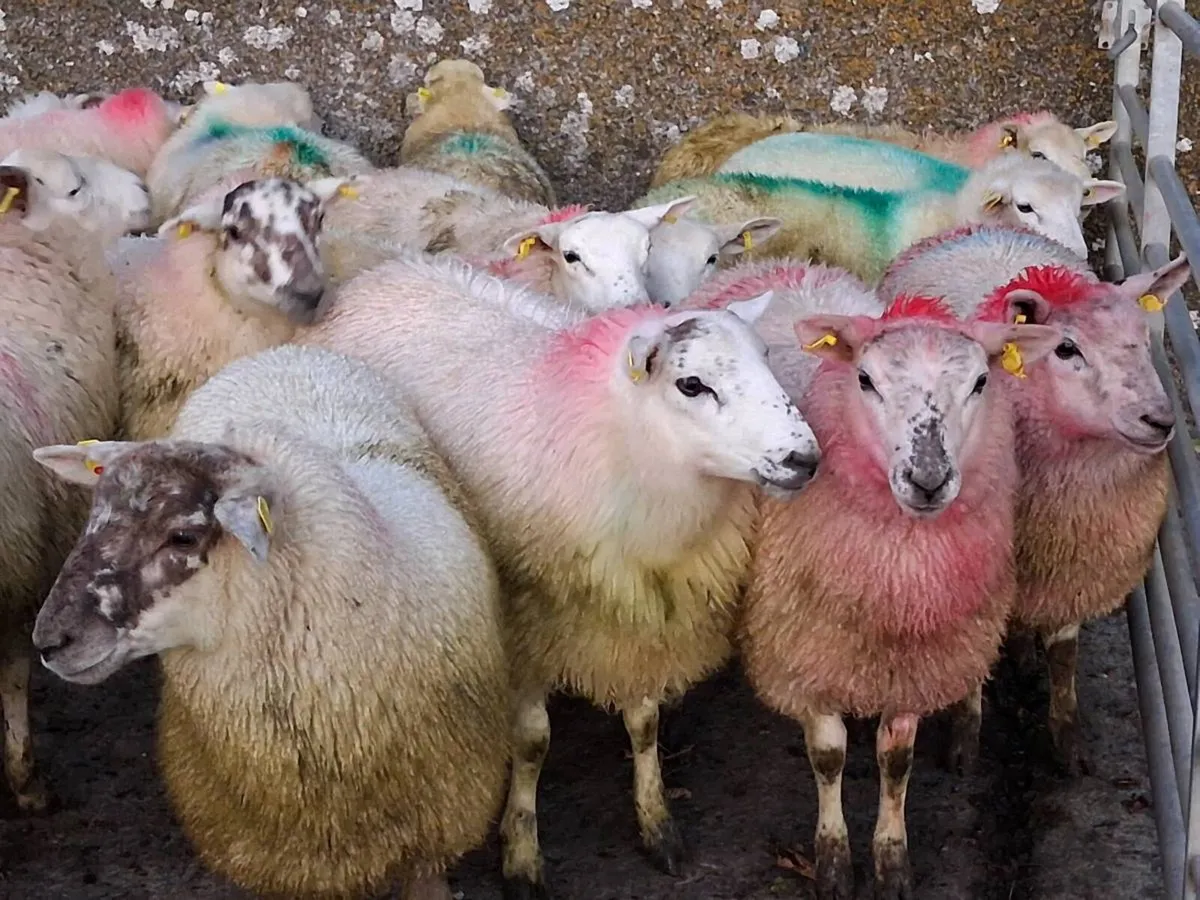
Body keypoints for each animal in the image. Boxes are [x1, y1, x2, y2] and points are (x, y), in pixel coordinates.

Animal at [299, 251, 821, 898]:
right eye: (691, 384)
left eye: (768, 359)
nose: (805, 459)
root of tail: (386, 271)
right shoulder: (523, 619)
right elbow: (532, 742)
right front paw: (521, 854)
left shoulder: (636, 613)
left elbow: (644, 722)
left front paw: (657, 824)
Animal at [740, 297, 1061, 900]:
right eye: (865, 379)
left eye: (982, 381)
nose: (928, 479)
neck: (897, 581)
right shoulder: (808, 656)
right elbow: (828, 757)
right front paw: (834, 862)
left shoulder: (916, 661)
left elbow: (896, 762)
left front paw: (891, 861)